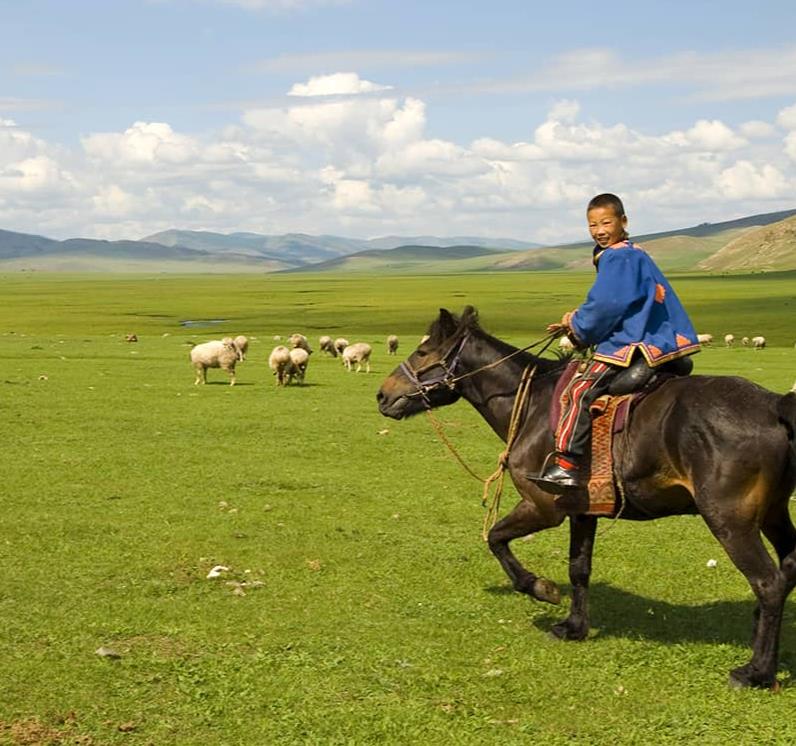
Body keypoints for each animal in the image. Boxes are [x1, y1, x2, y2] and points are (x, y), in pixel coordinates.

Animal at [378, 306, 796, 684]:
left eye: (423, 352)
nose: (383, 395)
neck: (531, 405)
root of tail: (773, 405)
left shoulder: (543, 507)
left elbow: (495, 538)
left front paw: (541, 589)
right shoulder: (582, 510)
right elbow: (579, 568)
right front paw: (574, 626)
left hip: (730, 521)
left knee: (768, 582)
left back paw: (756, 671)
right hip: (774, 513)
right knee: (787, 570)